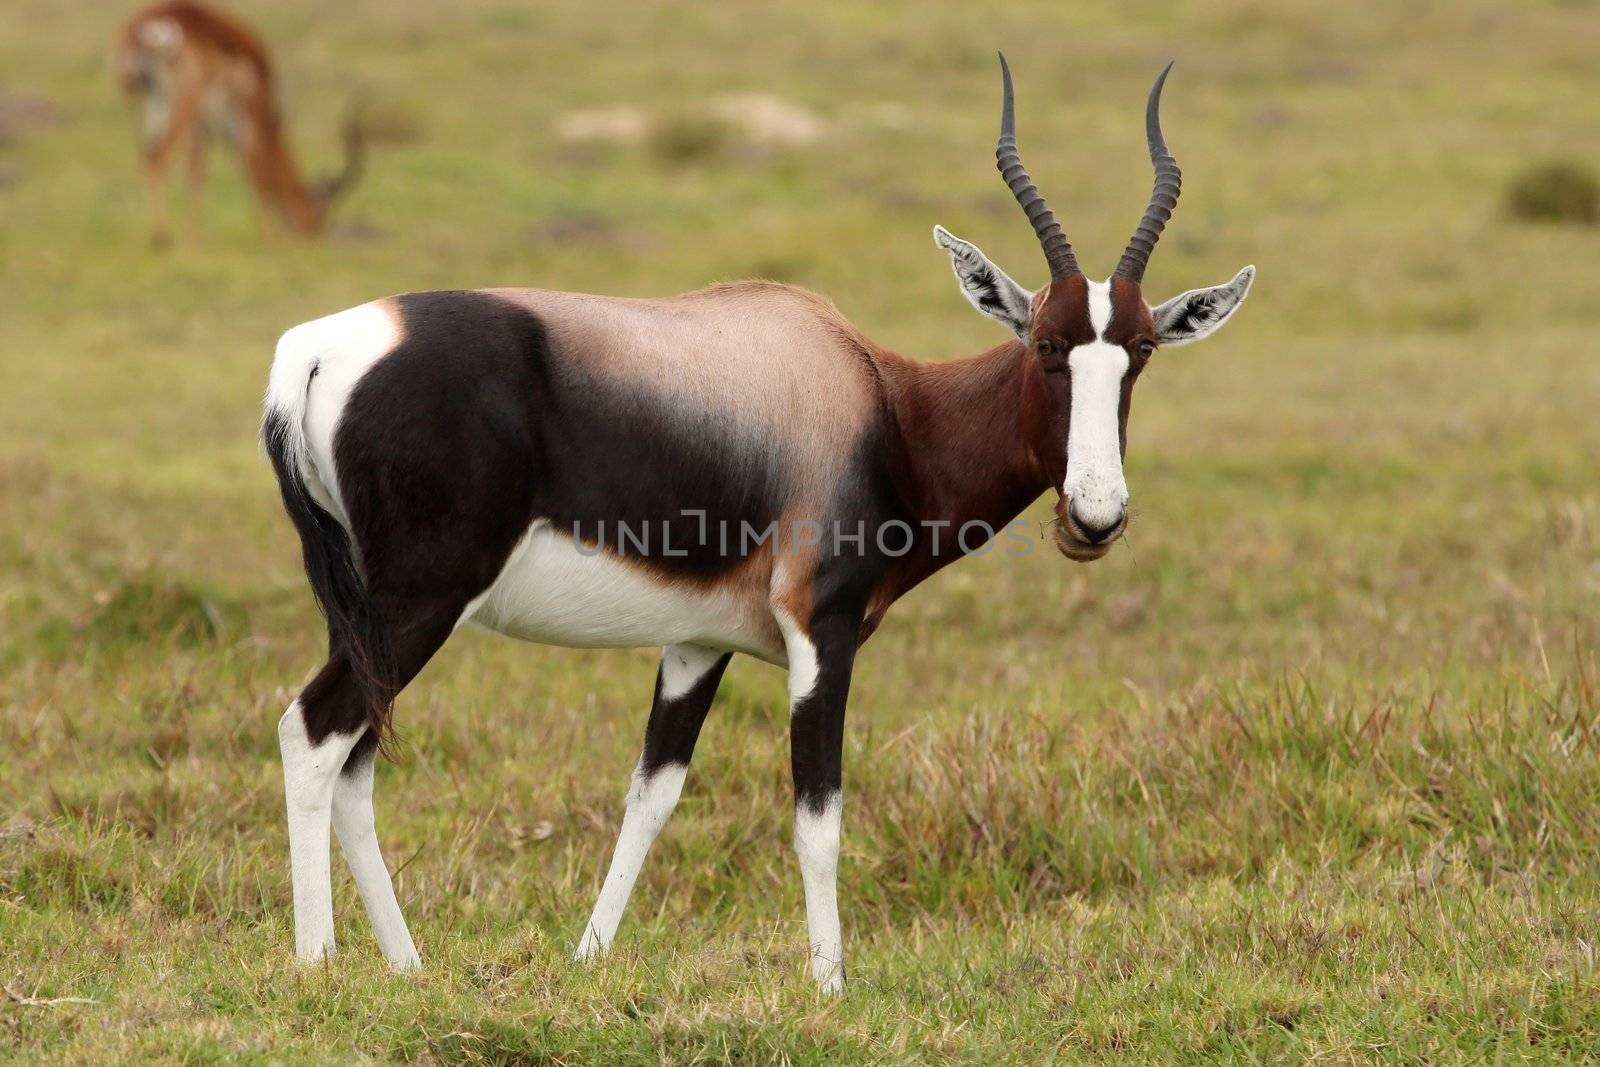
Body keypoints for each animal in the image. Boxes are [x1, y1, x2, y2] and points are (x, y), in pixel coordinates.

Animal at [116, 0, 366, 244]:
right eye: (316, 217)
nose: (312, 237)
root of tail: (146, 28)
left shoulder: (204, 127)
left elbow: (199, 172)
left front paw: (199, 237)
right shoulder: (247, 118)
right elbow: (254, 169)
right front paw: (270, 238)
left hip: (142, 106)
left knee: (146, 156)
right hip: (182, 106)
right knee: (158, 159)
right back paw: (161, 237)